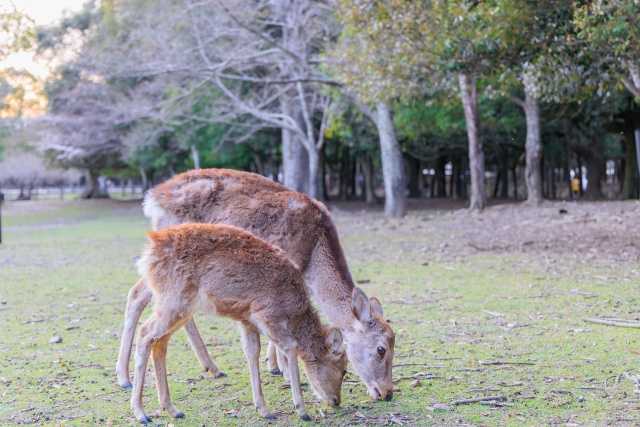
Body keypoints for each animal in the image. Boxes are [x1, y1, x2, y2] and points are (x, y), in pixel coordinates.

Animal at [116, 168, 396, 401]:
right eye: (381, 349)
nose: (387, 393)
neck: (313, 255)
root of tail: (152, 198)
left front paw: (274, 366)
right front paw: (285, 372)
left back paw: (212, 368)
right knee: (137, 295)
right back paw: (123, 377)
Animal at [131, 223, 347, 423]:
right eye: (344, 369)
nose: (336, 400)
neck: (294, 313)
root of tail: (150, 248)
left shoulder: (246, 320)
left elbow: (252, 352)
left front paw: (263, 409)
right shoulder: (267, 314)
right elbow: (290, 347)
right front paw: (302, 410)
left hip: (179, 309)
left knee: (160, 342)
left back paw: (172, 409)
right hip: (174, 302)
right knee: (144, 333)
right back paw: (141, 413)